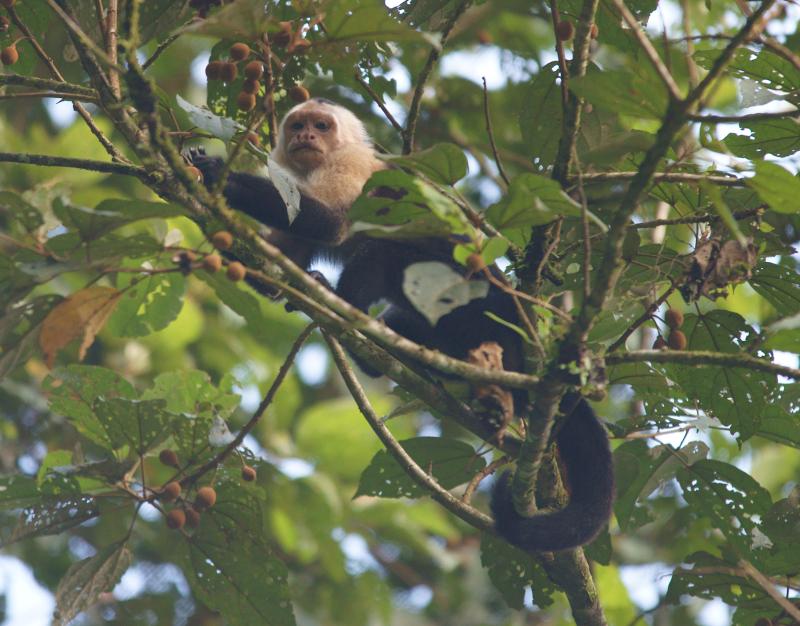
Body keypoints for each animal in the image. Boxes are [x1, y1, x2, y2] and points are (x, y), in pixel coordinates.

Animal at [188, 97, 612, 552]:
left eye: (322, 126)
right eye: (298, 126)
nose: (307, 136)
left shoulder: (352, 165)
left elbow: (331, 224)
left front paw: (219, 174)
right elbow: (280, 259)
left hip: (473, 297)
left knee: (384, 250)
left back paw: (349, 315)